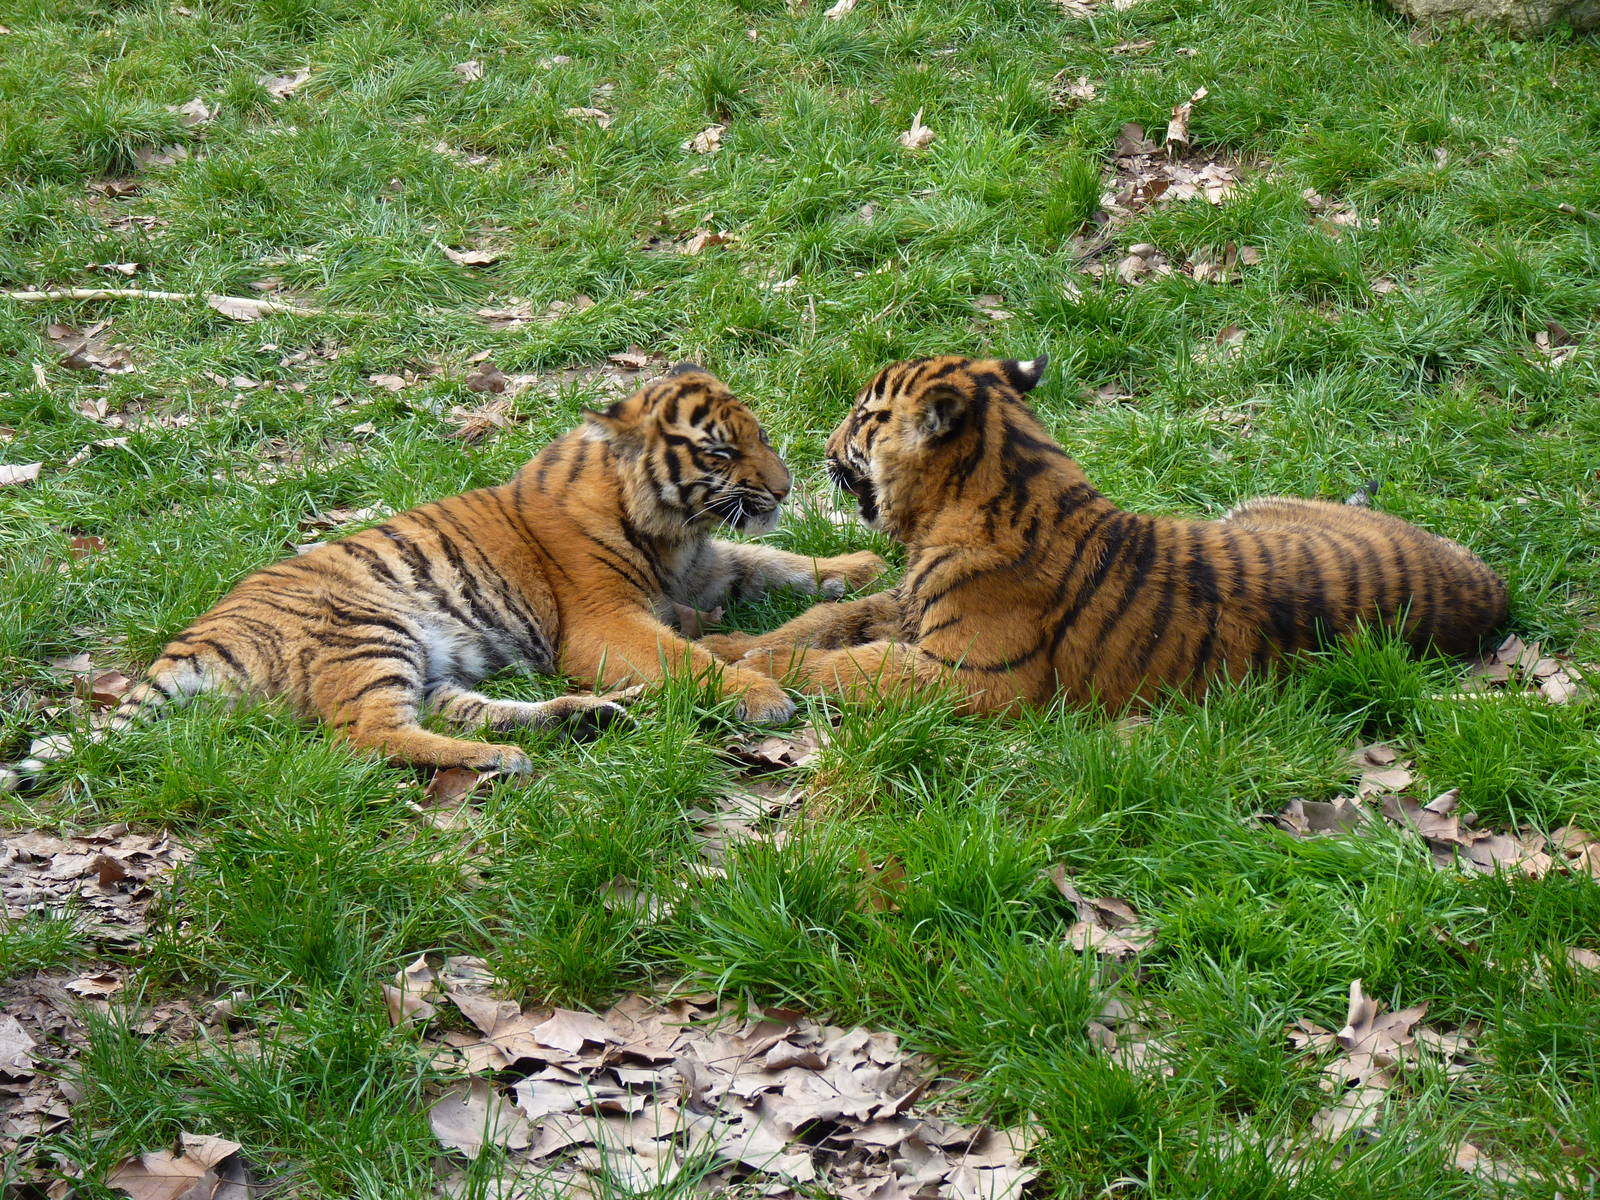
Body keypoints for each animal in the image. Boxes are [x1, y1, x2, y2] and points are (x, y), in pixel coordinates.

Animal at [107, 364, 884, 772]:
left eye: (762, 437)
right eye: (721, 453)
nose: (786, 487)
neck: (677, 533)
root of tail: (193, 637)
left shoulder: (710, 565)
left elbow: (772, 559)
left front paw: (859, 566)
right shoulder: (603, 624)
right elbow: (684, 655)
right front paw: (759, 693)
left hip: (427, 661)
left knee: (456, 709)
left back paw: (583, 719)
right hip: (368, 629)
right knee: (366, 735)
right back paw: (501, 759)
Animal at [700, 353, 1508, 714]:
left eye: (865, 419)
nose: (819, 446)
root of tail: (1494, 587)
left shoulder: (968, 674)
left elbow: (850, 664)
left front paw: (765, 670)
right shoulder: (907, 605)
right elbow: (823, 621)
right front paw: (731, 648)